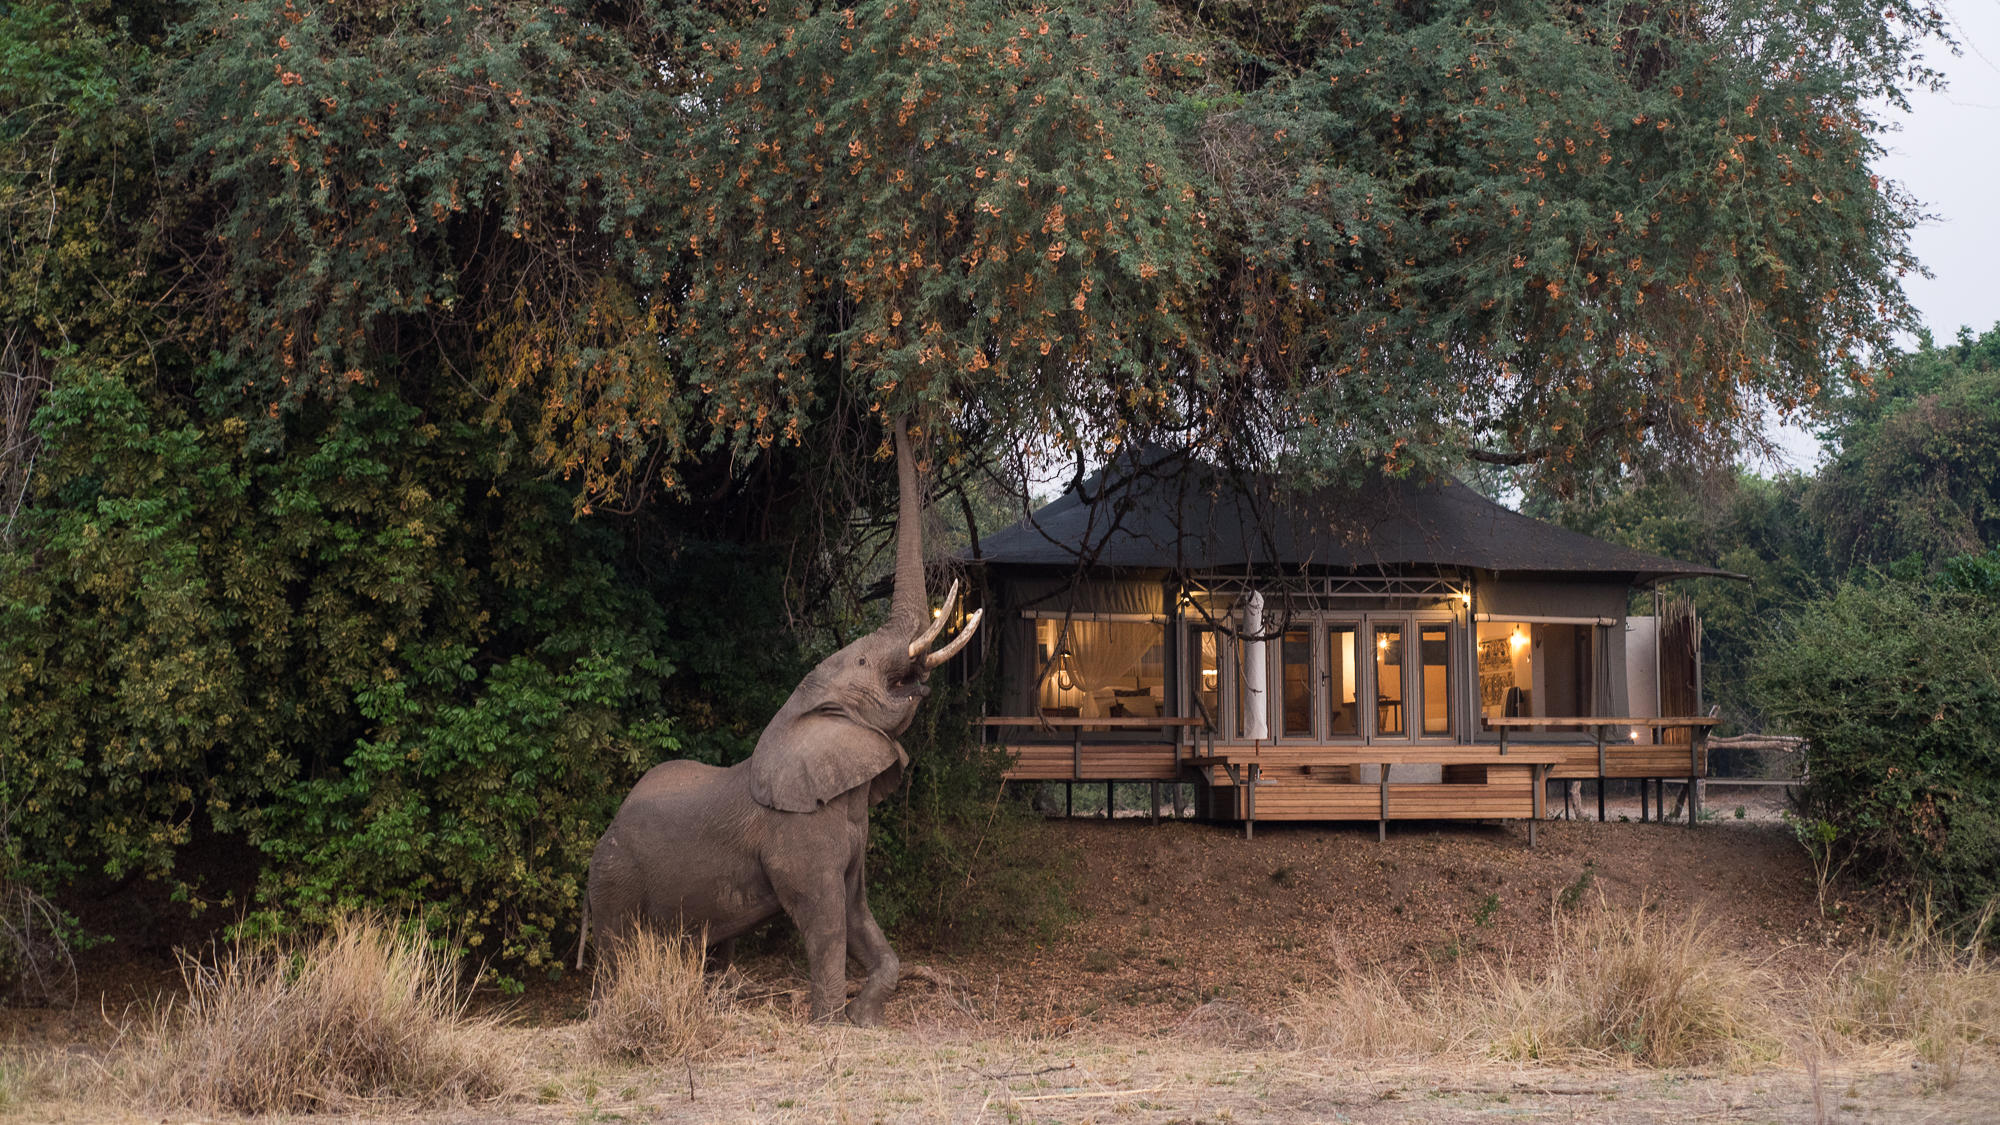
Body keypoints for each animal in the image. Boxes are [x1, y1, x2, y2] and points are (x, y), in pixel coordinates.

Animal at [576, 416, 980, 1020]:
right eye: (863, 663)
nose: (897, 417)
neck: (802, 714)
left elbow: (857, 912)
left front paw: (864, 1020)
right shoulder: (798, 835)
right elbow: (825, 919)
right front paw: (830, 1024)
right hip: (615, 879)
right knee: (617, 954)